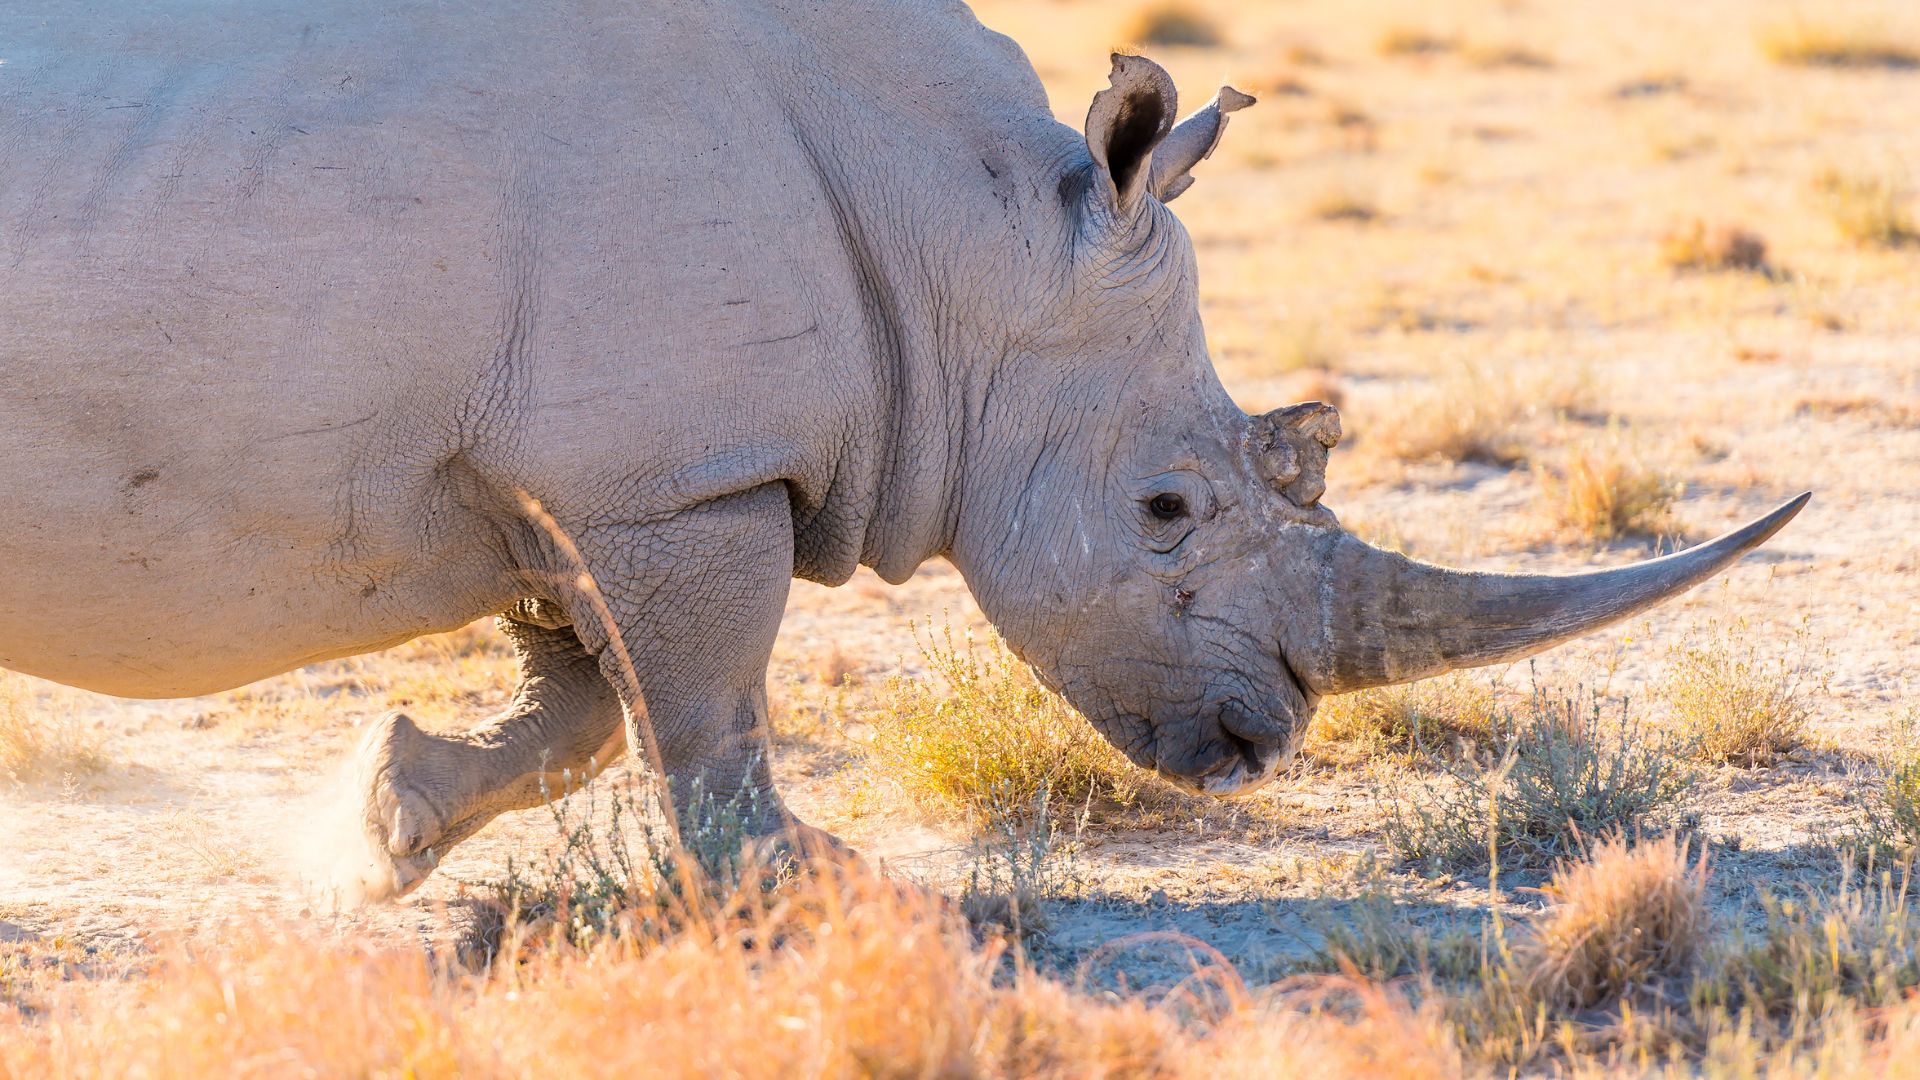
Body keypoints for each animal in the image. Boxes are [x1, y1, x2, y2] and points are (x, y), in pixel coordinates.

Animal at [0, 0, 1804, 897]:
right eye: (1165, 508)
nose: (1262, 743)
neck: (972, 237)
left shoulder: (597, 470)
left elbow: (588, 705)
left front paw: (384, 829)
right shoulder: (681, 473)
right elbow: (703, 707)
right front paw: (817, 896)